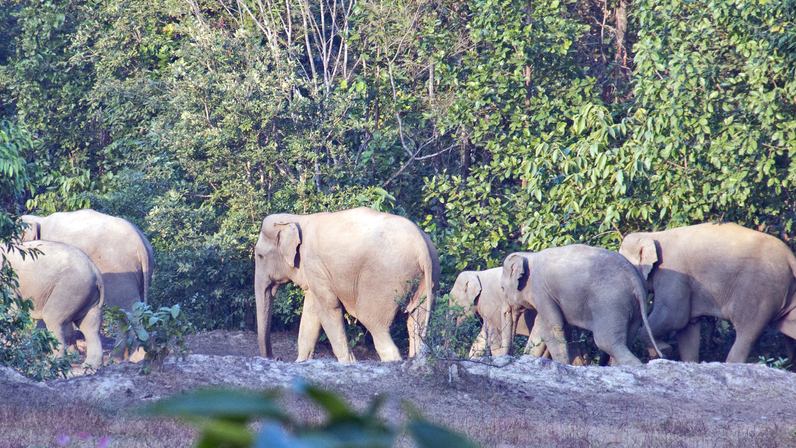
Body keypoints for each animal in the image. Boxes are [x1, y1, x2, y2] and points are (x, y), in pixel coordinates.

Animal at [20, 208, 155, 358]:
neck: (40, 220)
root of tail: (142, 245)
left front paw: (71, 352)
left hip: (121, 271)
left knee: (129, 309)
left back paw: (137, 357)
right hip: (142, 272)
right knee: (125, 312)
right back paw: (118, 358)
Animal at [253, 208, 438, 362]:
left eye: (260, 255)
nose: (276, 358)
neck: (296, 219)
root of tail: (422, 247)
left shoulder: (313, 263)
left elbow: (328, 307)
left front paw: (348, 363)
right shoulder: (315, 271)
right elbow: (312, 311)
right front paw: (301, 362)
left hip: (386, 279)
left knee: (372, 321)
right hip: (425, 281)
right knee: (416, 323)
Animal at [498, 247, 660, 366]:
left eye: (502, 288)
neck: (529, 256)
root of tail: (635, 281)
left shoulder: (541, 289)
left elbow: (553, 326)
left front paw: (563, 364)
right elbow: (541, 329)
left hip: (610, 302)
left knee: (606, 342)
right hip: (634, 309)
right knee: (625, 340)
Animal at [620, 222, 796, 362]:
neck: (653, 235)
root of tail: (790, 257)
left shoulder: (673, 274)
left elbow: (674, 317)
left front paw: (663, 351)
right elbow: (687, 330)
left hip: (758, 291)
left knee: (746, 333)